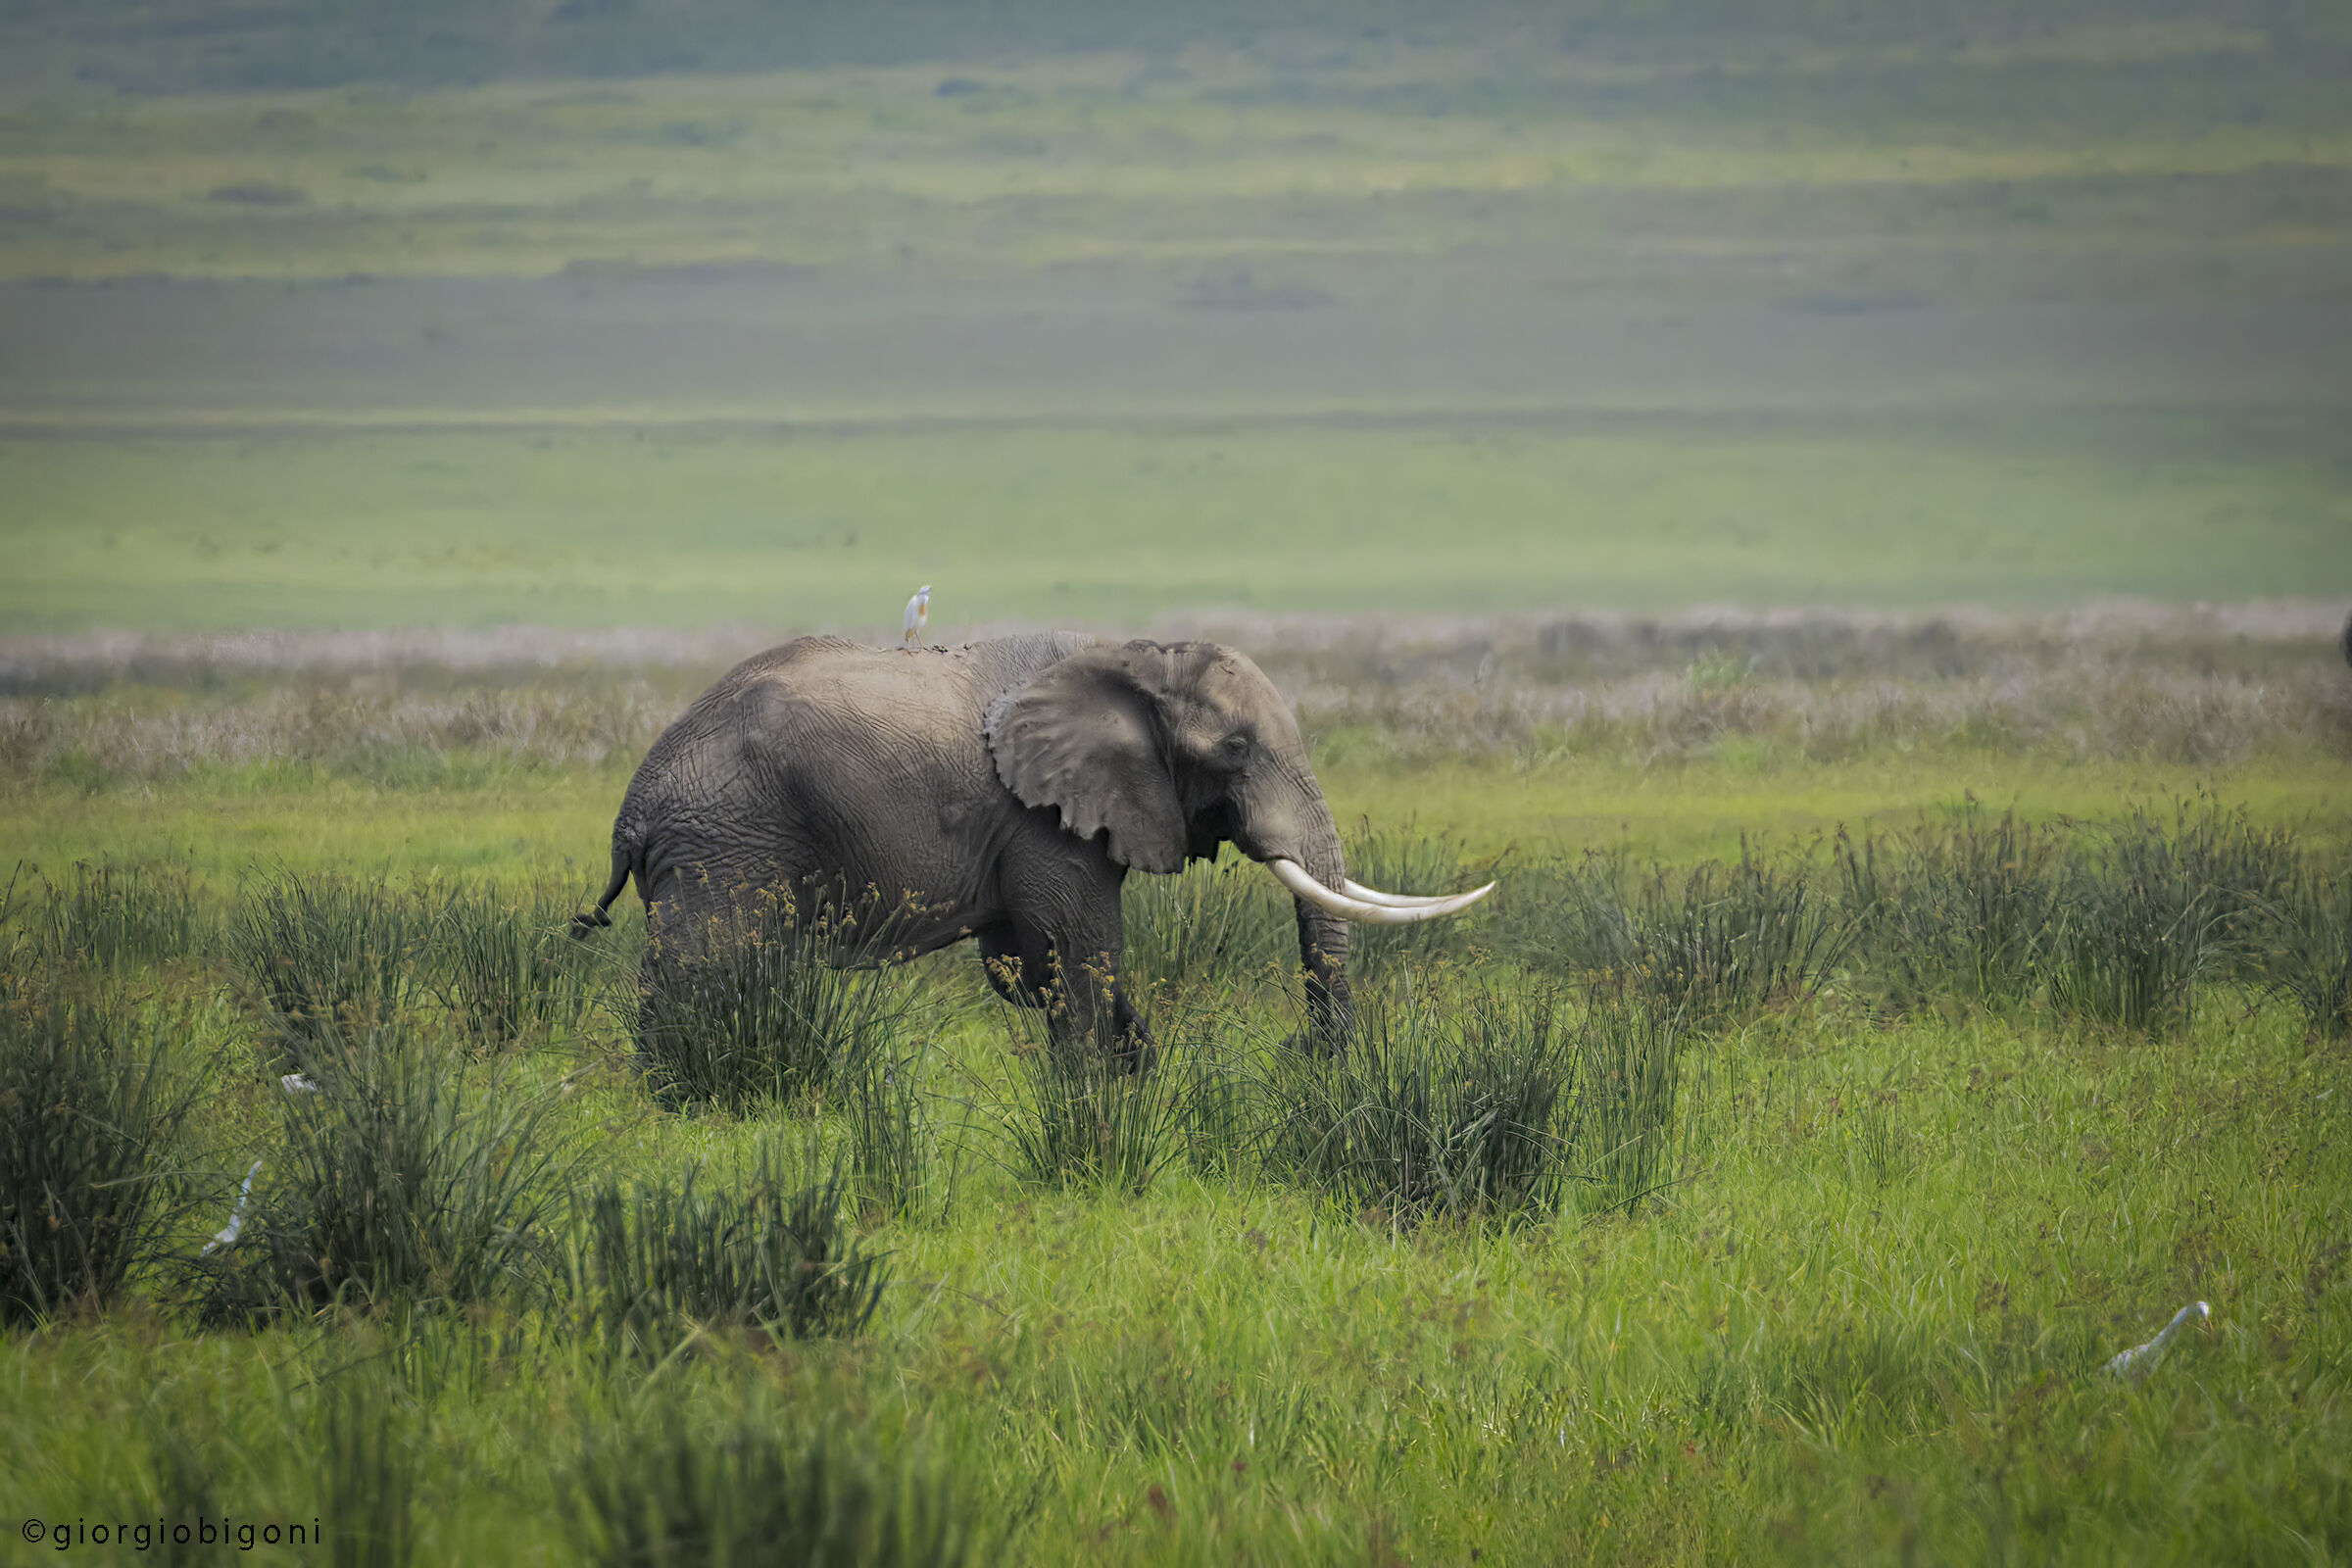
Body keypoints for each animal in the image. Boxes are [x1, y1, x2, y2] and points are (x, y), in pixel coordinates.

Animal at [572, 632, 1490, 1062]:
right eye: (1235, 749)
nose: (1300, 1051)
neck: (1135, 653)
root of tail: (632, 811)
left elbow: (1032, 965)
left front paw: (1136, 1069)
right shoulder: (1043, 816)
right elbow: (1078, 949)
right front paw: (1100, 1098)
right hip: (724, 844)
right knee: (706, 968)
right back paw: (677, 1093)